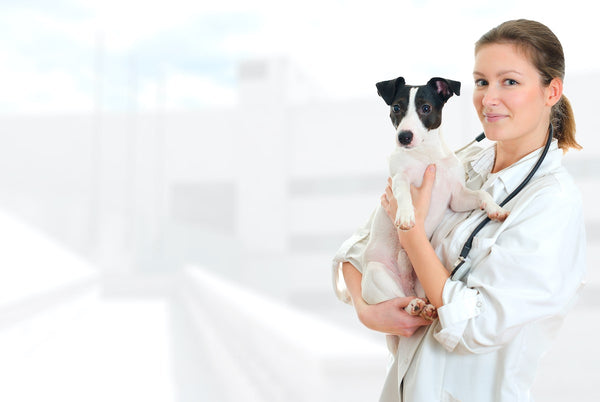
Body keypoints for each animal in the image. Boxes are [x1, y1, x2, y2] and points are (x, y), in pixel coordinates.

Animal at [358, 77, 508, 350]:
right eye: (396, 108)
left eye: (426, 108)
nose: (404, 137)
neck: (425, 155)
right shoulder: (399, 179)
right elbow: (404, 191)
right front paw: (406, 215)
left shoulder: (457, 197)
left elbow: (482, 194)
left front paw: (495, 208)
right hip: (377, 275)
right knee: (398, 303)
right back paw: (414, 306)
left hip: (421, 284)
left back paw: (425, 308)